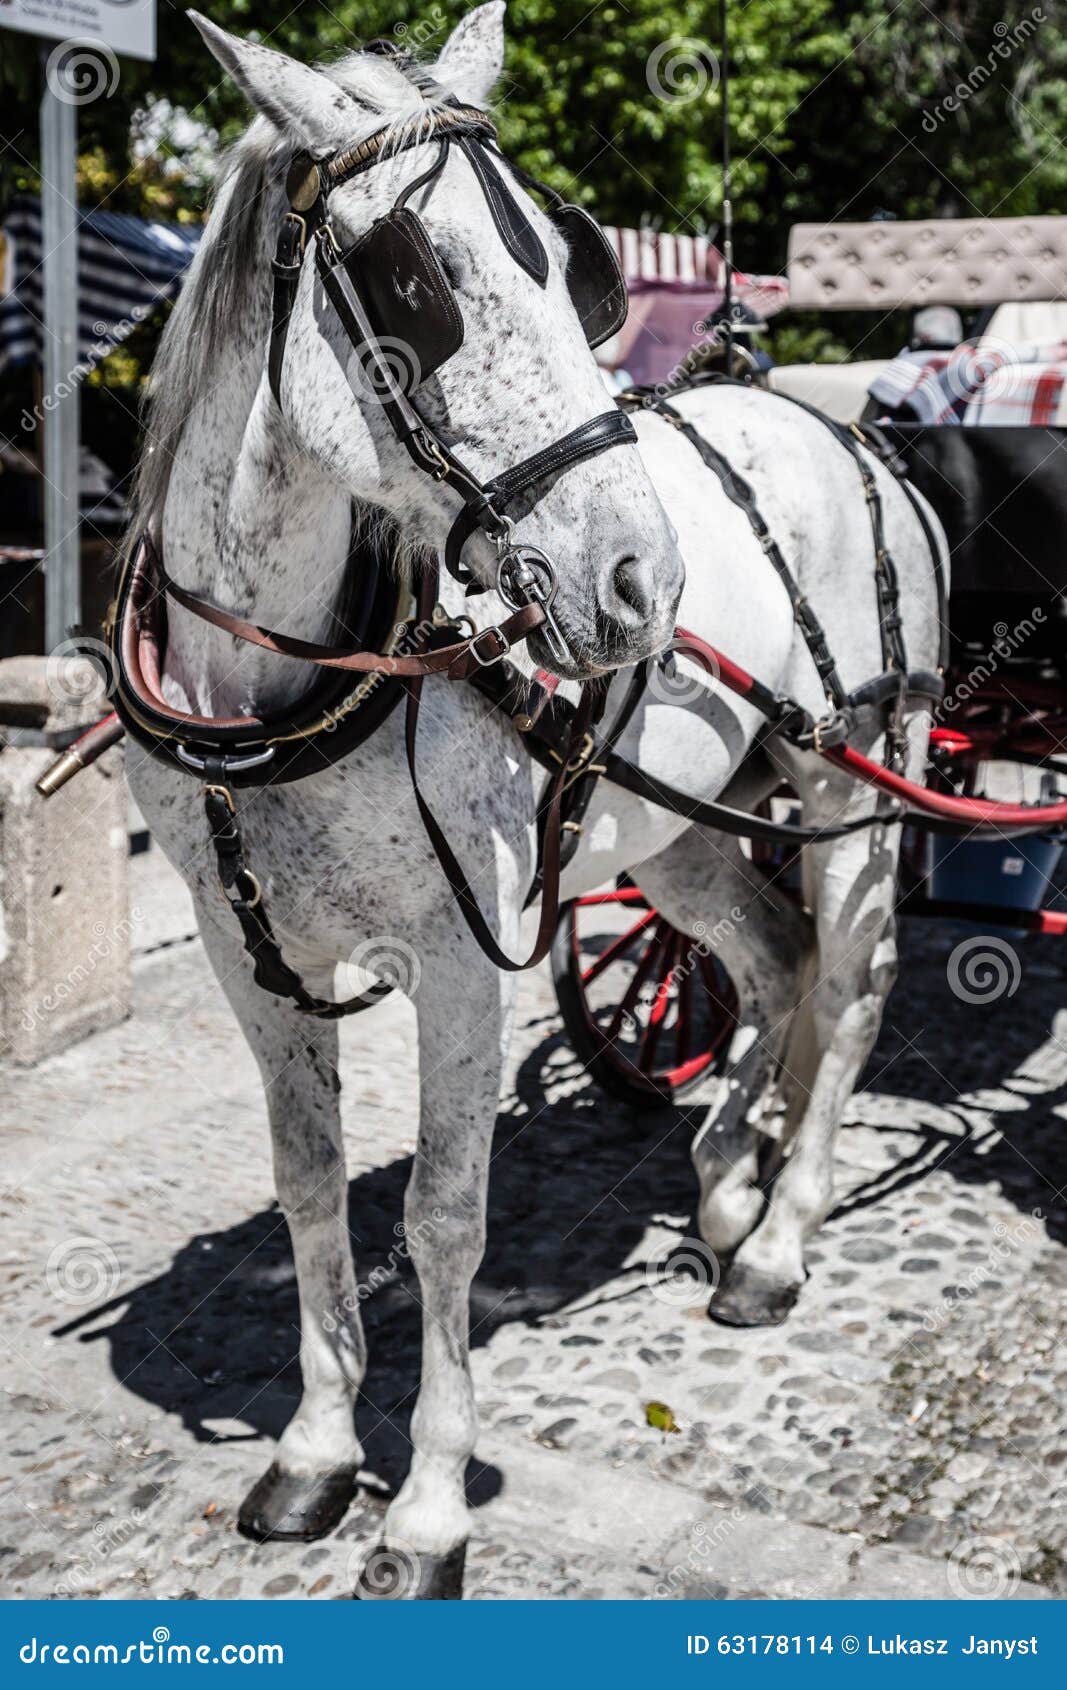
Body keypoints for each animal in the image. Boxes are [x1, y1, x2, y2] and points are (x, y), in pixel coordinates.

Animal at [123, 4, 945, 1599]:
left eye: (573, 270)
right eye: (415, 281)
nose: (642, 576)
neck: (284, 676)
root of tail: (837, 431)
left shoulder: (459, 955)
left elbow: (442, 1217)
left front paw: (429, 1504)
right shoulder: (245, 953)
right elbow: (310, 1182)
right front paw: (314, 1451)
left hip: (852, 774)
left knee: (850, 984)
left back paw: (777, 1237)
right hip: (681, 822)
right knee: (770, 959)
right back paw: (722, 1183)